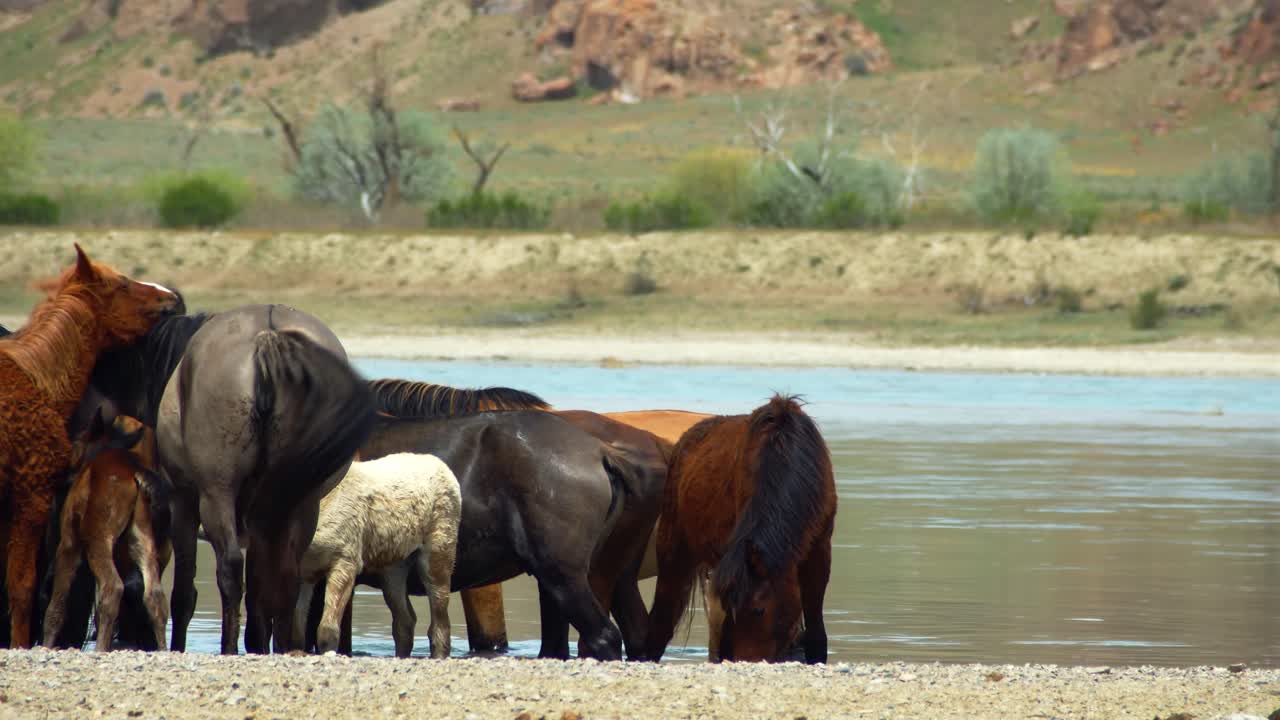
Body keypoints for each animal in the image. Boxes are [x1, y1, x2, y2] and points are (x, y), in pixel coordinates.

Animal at [42, 411, 170, 651]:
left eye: (79, 441)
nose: (68, 466)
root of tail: (136, 475)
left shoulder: (69, 541)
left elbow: (57, 606)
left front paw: (46, 645)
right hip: (141, 536)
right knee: (154, 594)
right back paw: (162, 649)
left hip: (98, 536)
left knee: (113, 588)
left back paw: (100, 649)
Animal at [294, 453, 460, 659]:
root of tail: (443, 466)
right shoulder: (305, 573)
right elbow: (297, 626)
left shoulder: (345, 561)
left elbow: (327, 628)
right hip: (393, 568)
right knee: (405, 620)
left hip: (438, 552)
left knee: (439, 619)